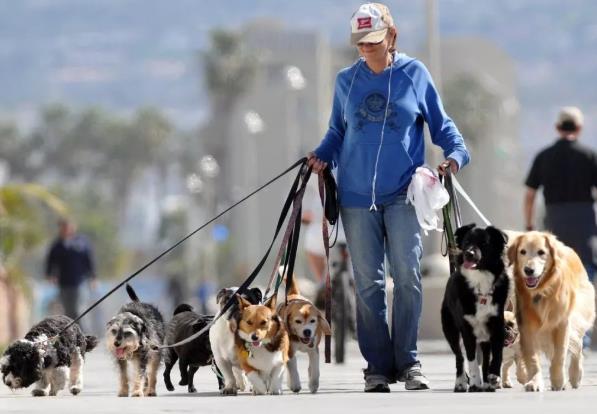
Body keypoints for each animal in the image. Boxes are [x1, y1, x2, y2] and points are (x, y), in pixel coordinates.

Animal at [440, 225, 510, 392]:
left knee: (485, 357)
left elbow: (496, 355)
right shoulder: (467, 329)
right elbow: (471, 359)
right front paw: (475, 382)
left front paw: (493, 376)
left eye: (484, 243)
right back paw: (460, 383)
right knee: (459, 356)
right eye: (466, 242)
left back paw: (488, 383)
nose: (468, 253)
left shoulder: (497, 325)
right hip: (450, 329)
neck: (480, 280)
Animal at [508, 233, 596, 392]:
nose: (528, 270)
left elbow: (560, 354)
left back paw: (575, 375)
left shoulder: (562, 322)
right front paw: (535, 381)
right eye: (522, 252)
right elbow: (532, 357)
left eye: (541, 252)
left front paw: (558, 381)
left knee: (578, 346)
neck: (541, 290)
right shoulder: (526, 325)